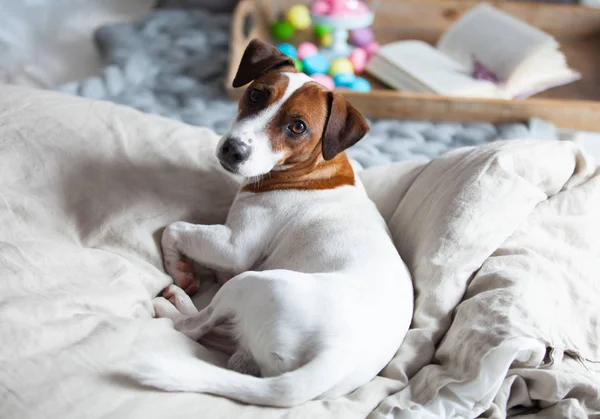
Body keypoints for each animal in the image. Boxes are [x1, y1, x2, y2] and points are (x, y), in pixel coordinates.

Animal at [126, 38, 412, 406]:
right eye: (256, 94)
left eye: (298, 127)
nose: (233, 150)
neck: (312, 170)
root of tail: (331, 359)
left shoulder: (235, 248)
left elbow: (172, 229)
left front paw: (181, 269)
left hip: (249, 282)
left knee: (193, 326)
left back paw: (174, 304)